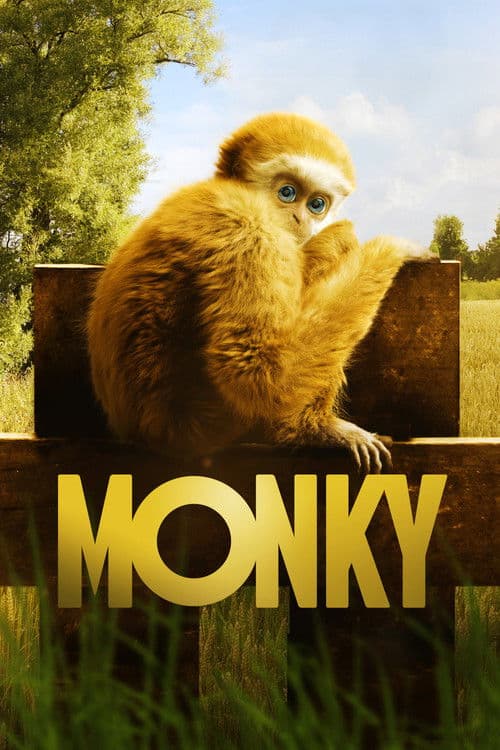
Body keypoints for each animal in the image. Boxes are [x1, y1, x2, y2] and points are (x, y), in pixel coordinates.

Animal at [87, 112, 432, 473]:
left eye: (317, 204)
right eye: (287, 193)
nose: (299, 218)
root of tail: (139, 432)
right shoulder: (251, 228)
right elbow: (259, 370)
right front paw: (393, 247)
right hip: (213, 423)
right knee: (341, 237)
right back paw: (311, 430)